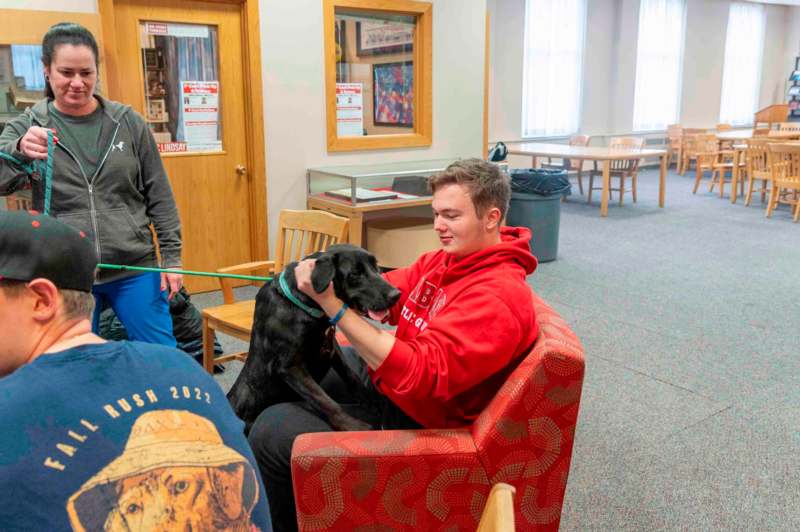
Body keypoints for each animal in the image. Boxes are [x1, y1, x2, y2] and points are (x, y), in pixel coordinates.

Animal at [227, 245, 400, 432]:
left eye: (377, 267)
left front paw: (374, 403)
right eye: (355, 273)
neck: (304, 306)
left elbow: (352, 376)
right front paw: (351, 425)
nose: (396, 294)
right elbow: (325, 400)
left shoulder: (332, 349)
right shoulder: (290, 367)